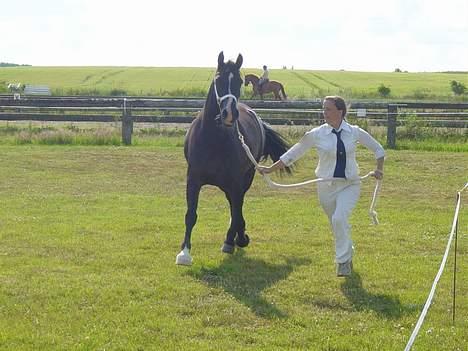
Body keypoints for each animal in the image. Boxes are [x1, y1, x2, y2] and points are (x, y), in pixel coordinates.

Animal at [176, 51, 290, 266]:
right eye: (218, 79)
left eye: (238, 81)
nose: (229, 113)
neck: (212, 139)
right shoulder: (193, 179)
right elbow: (190, 214)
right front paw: (184, 253)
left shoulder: (235, 181)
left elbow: (237, 210)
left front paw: (239, 238)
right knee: (233, 205)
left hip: (245, 177)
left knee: (237, 205)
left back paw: (233, 238)